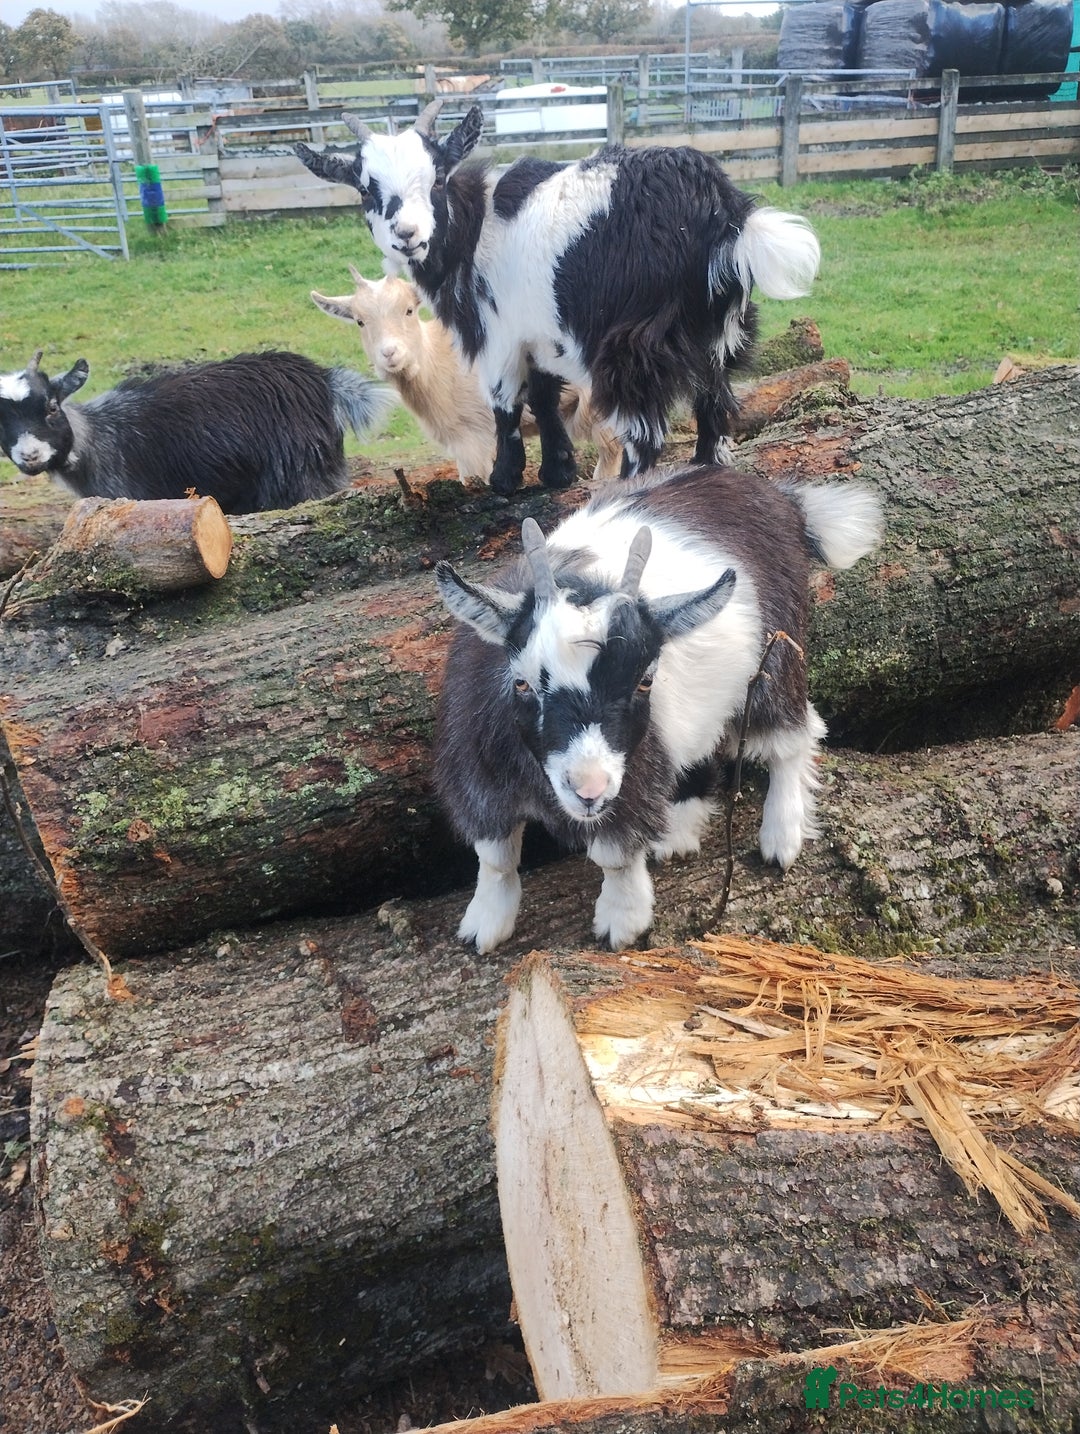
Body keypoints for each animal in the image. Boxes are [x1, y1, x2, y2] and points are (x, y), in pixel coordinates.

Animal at [433, 464, 883, 953]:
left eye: (645, 679)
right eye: (522, 681)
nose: (588, 790)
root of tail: (782, 498)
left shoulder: (630, 778)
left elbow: (614, 856)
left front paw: (622, 922)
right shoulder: (479, 775)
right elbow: (495, 856)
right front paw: (483, 925)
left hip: (777, 655)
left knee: (793, 737)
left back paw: (782, 835)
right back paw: (681, 827)